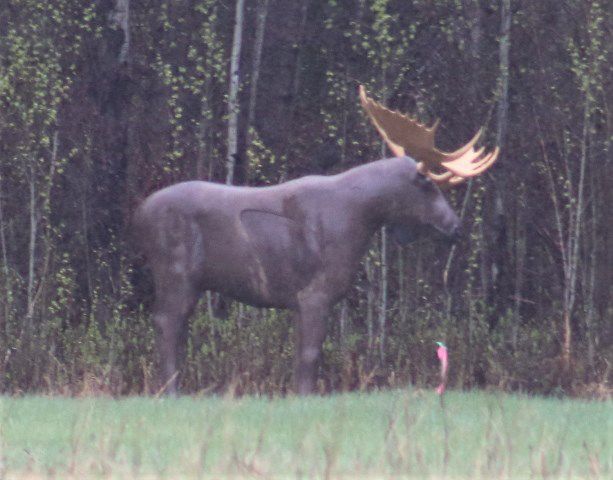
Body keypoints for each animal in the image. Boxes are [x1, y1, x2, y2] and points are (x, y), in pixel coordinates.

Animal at [134, 86, 498, 394]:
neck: (358, 216)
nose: (456, 227)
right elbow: (310, 354)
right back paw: (170, 392)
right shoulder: (314, 293)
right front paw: (304, 396)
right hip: (176, 273)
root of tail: (139, 214)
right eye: (430, 187)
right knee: (166, 322)